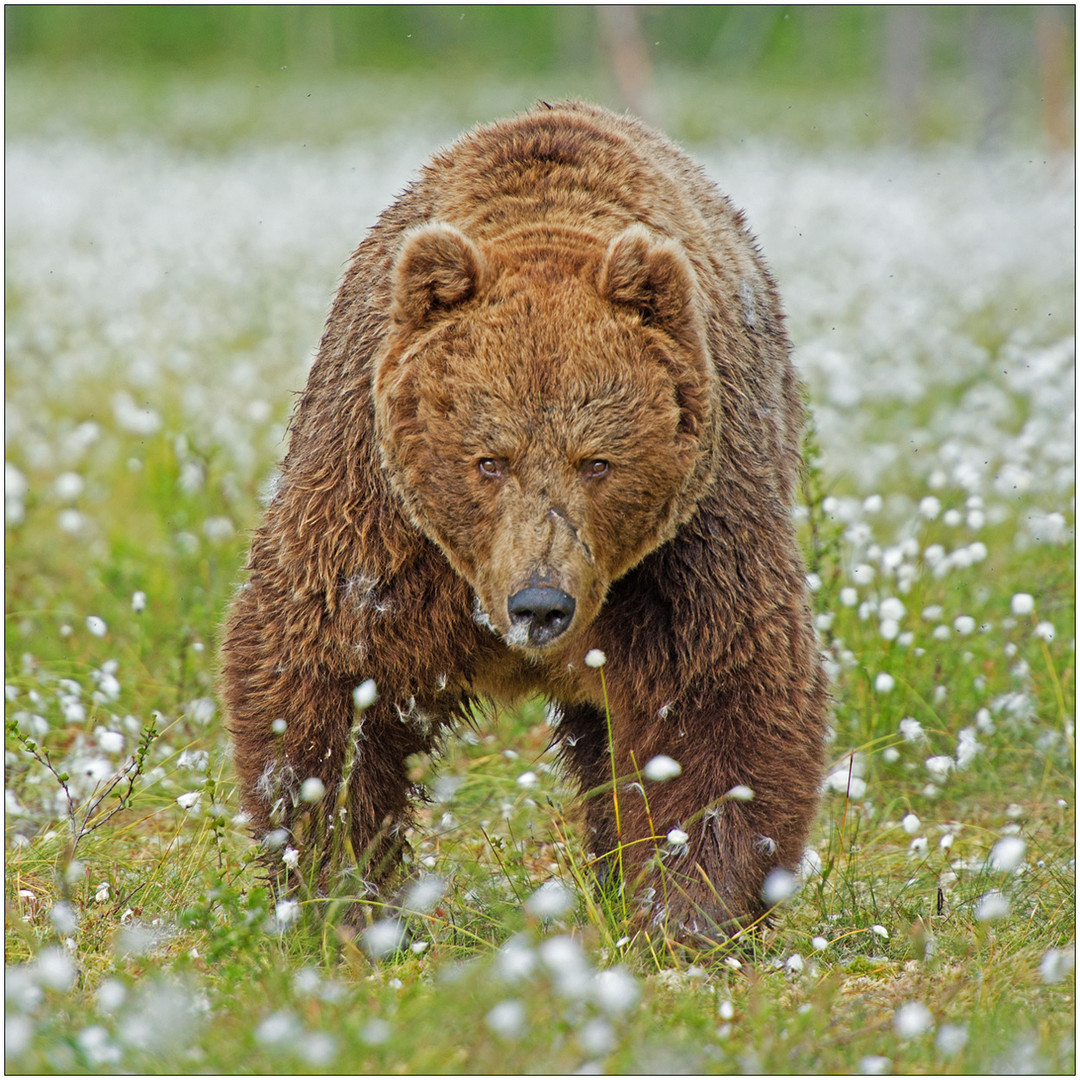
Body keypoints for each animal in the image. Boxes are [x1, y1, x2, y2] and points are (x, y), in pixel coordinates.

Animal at [219, 103, 825, 946]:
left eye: (597, 461)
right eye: (489, 460)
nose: (541, 604)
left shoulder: (689, 537)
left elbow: (715, 693)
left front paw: (693, 905)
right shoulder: (380, 511)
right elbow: (326, 669)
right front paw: (338, 890)